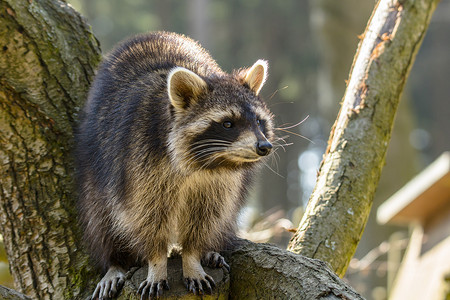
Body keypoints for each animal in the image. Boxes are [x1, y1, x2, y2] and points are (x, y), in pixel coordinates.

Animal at [75, 31, 274, 298]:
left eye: (258, 121)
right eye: (228, 124)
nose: (264, 147)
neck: (203, 165)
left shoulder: (221, 181)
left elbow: (207, 215)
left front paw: (192, 256)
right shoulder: (139, 161)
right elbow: (145, 215)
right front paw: (156, 262)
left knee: (224, 216)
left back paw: (211, 249)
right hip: (96, 163)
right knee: (100, 216)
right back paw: (115, 262)